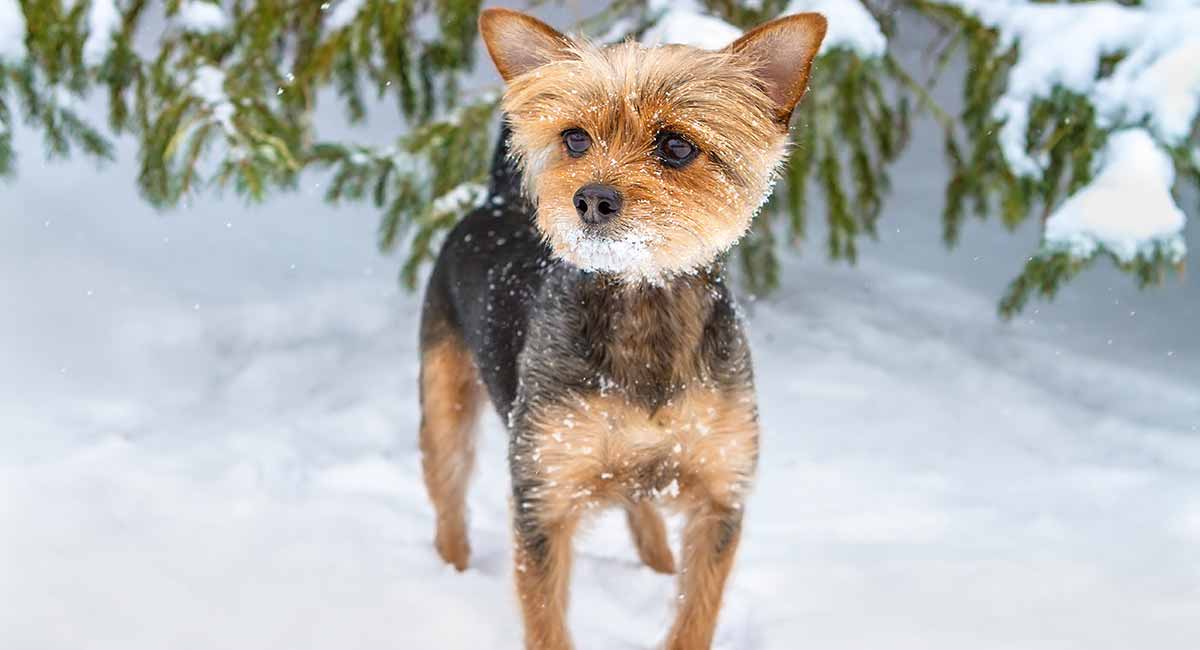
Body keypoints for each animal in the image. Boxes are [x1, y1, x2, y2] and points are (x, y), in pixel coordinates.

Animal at [420, 6, 825, 650]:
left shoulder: (719, 495)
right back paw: (452, 573)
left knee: (642, 508)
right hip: (445, 399)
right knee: (449, 499)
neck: (643, 307)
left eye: (676, 145)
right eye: (575, 138)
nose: (590, 199)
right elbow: (547, 622)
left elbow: (694, 614)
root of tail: (497, 200)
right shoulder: (544, 493)